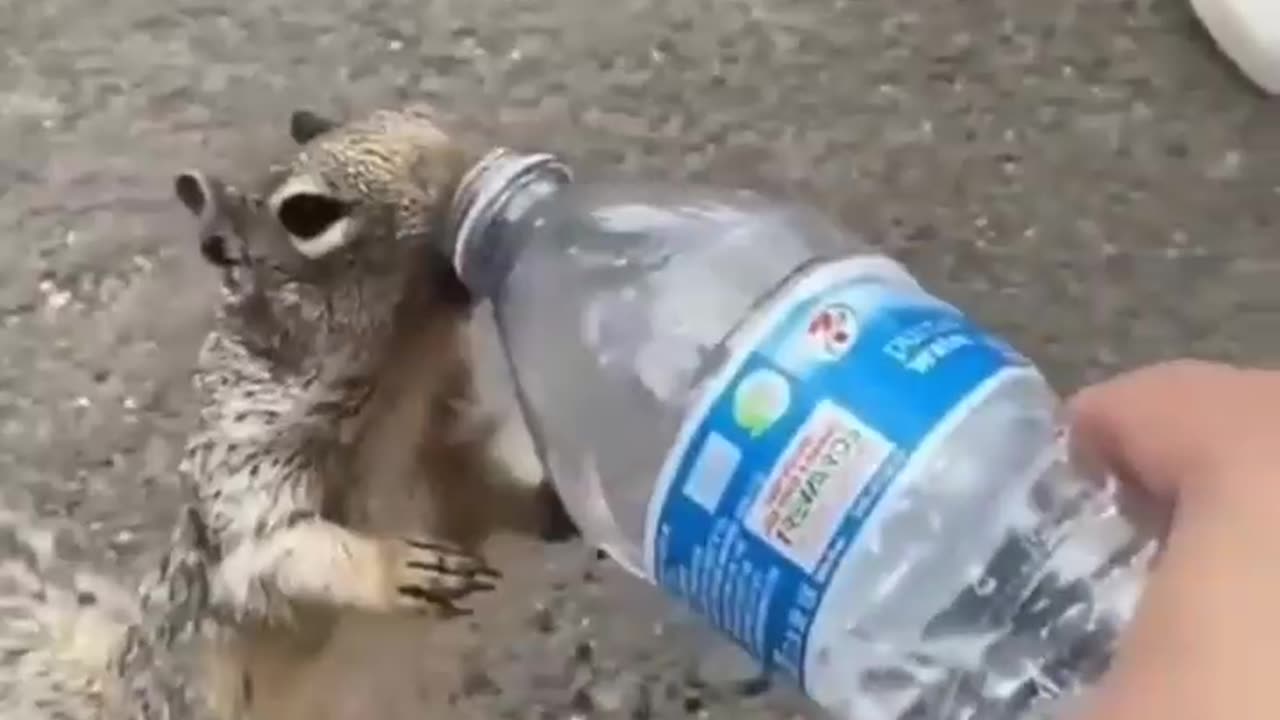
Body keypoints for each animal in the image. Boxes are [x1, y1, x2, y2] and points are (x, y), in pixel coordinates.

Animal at [1, 102, 581, 717]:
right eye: (307, 215)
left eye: (417, 117)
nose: (461, 171)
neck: (406, 375)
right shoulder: (247, 469)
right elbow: (280, 554)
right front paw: (395, 569)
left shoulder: (450, 448)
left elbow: (491, 489)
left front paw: (559, 502)